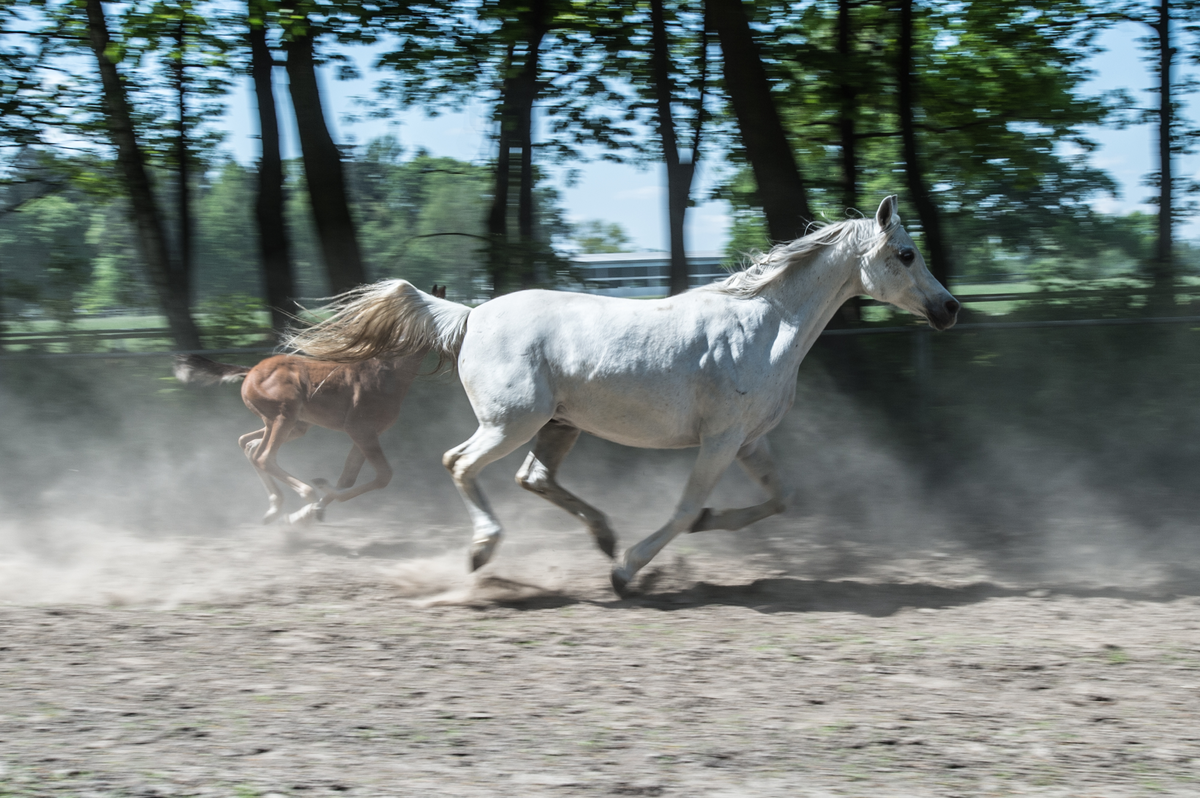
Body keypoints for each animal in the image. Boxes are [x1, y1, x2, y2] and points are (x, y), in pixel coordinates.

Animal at [288, 195, 955, 595]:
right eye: (906, 254)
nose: (949, 309)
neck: (763, 327)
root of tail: (472, 315)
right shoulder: (719, 441)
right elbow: (684, 508)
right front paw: (626, 570)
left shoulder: (748, 441)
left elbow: (781, 497)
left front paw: (697, 528)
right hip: (511, 422)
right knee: (460, 463)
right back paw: (484, 552)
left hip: (559, 425)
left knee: (533, 478)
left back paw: (600, 534)